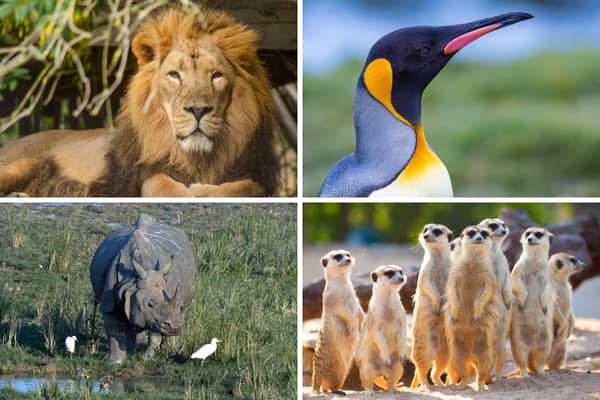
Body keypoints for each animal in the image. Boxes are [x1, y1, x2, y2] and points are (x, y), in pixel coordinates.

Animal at [0, 8, 280, 197]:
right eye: (174, 75)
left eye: (217, 75)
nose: (198, 110)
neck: (196, 158)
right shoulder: (136, 177)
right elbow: (161, 184)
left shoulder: (256, 173)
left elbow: (244, 188)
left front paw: (203, 191)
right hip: (24, 163)